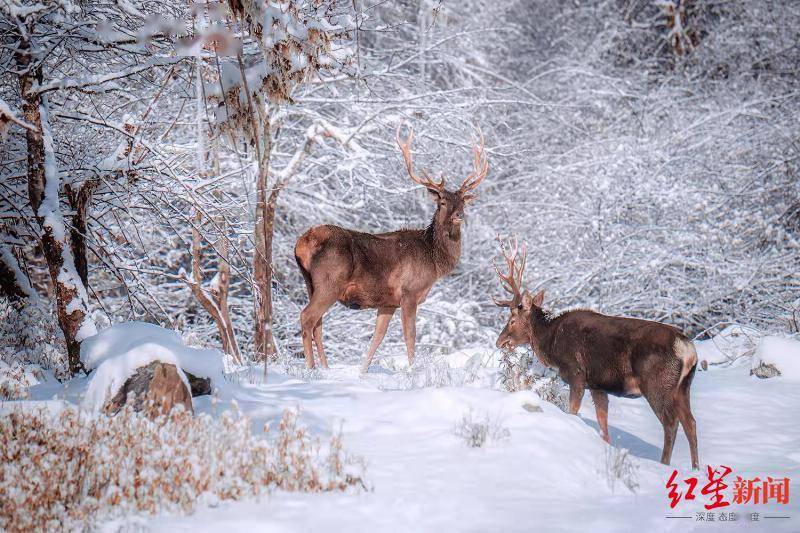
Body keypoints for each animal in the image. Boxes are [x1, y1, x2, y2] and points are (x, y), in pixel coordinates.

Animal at [294, 128, 488, 370]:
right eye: (442, 201)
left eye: (463, 201)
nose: (459, 215)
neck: (434, 260)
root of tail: (302, 243)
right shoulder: (409, 292)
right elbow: (410, 335)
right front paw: (413, 370)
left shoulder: (387, 302)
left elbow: (378, 337)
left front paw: (363, 371)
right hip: (330, 281)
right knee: (307, 317)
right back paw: (311, 369)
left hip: (310, 283)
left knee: (317, 325)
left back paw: (325, 369)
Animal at [490, 239, 696, 468]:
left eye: (512, 320)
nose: (500, 341)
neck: (550, 343)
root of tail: (686, 348)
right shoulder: (598, 386)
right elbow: (603, 425)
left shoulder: (576, 374)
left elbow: (572, 411)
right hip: (683, 387)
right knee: (691, 423)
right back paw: (696, 467)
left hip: (657, 384)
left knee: (671, 423)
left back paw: (664, 464)